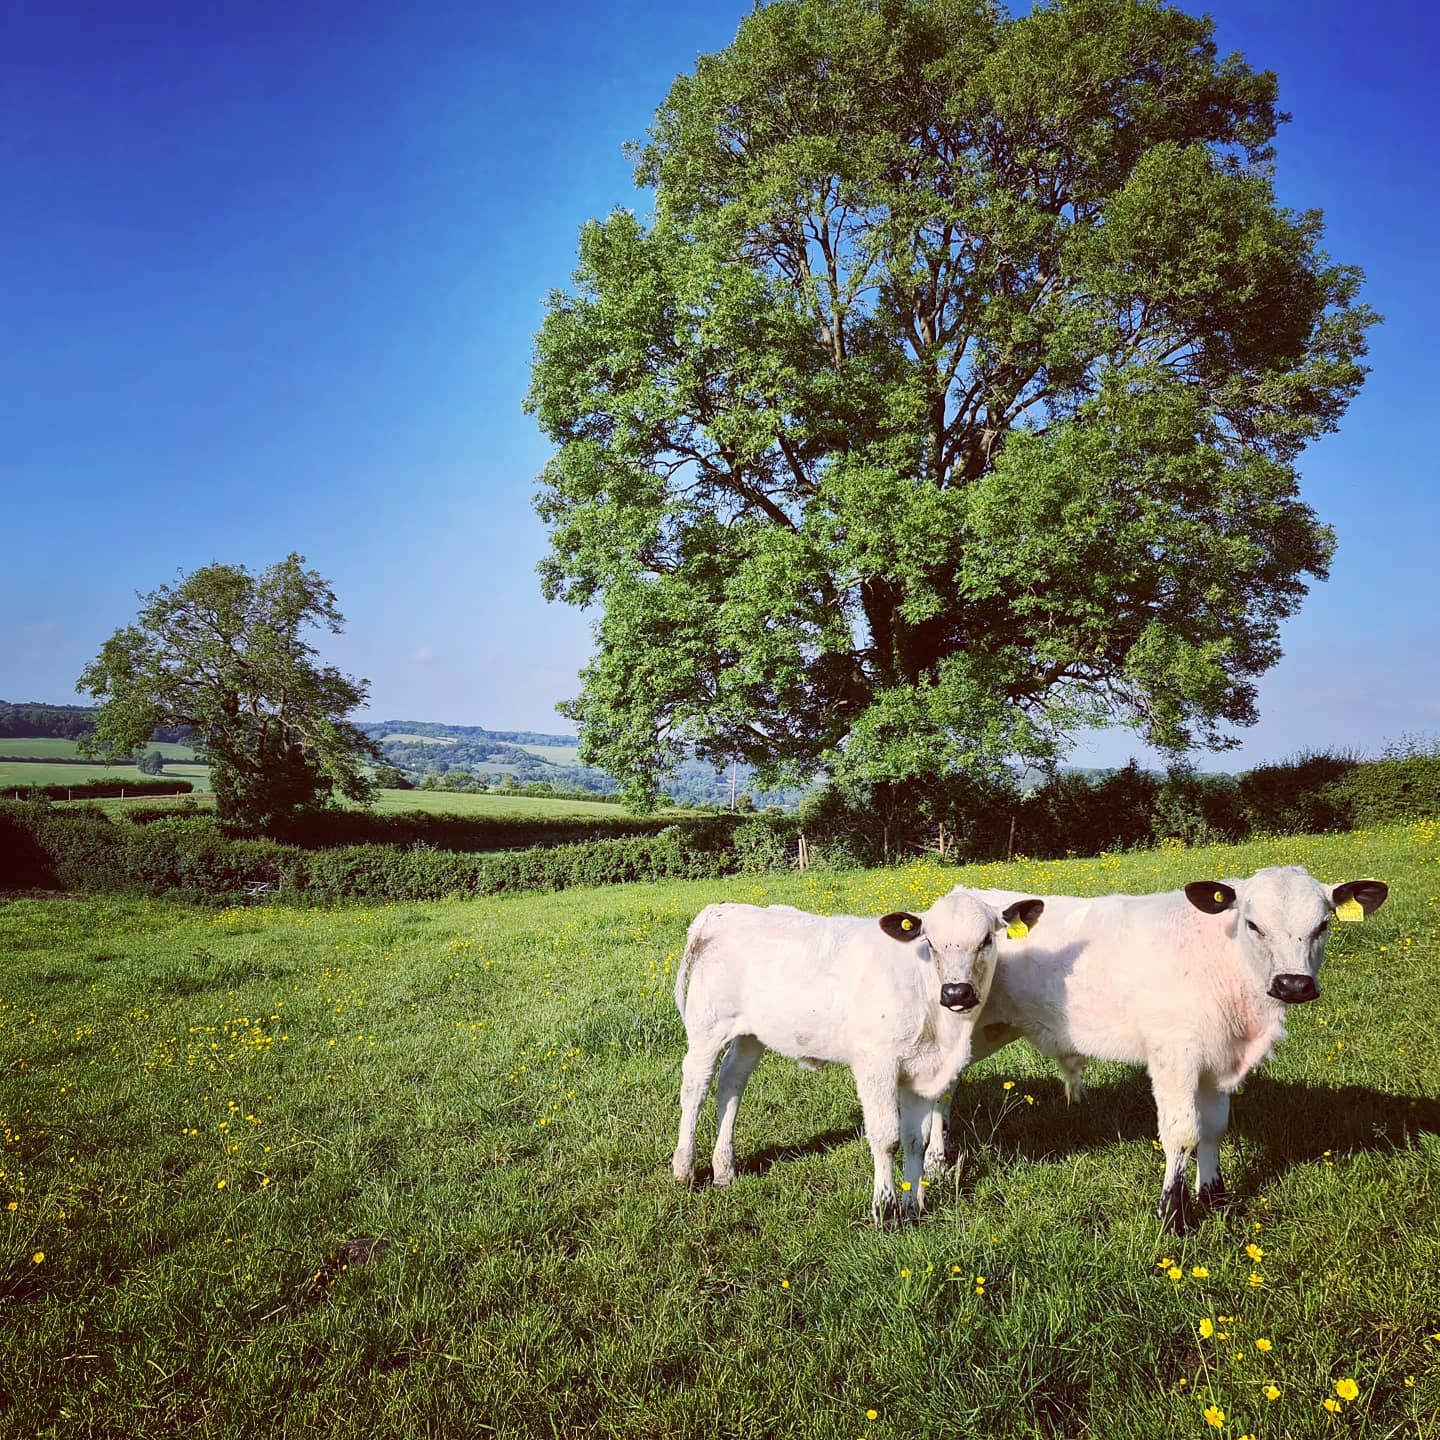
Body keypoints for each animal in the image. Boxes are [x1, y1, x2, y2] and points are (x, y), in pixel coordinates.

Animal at [673, 892, 1048, 1221]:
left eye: (986, 940)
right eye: (930, 942)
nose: (957, 992)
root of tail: (724, 909)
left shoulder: (922, 1071)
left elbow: (916, 1140)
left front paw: (913, 1206)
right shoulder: (876, 1064)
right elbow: (887, 1138)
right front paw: (885, 1209)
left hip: (751, 1034)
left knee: (731, 1084)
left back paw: (724, 1170)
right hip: (707, 1027)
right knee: (695, 1089)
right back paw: (684, 1169)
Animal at [927, 858, 1388, 1232]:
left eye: (1323, 925)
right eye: (1254, 925)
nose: (1293, 984)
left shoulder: (1218, 1060)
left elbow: (1214, 1128)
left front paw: (1214, 1197)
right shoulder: (1175, 1055)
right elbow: (1182, 1133)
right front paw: (1173, 1215)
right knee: (940, 1086)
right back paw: (935, 1162)